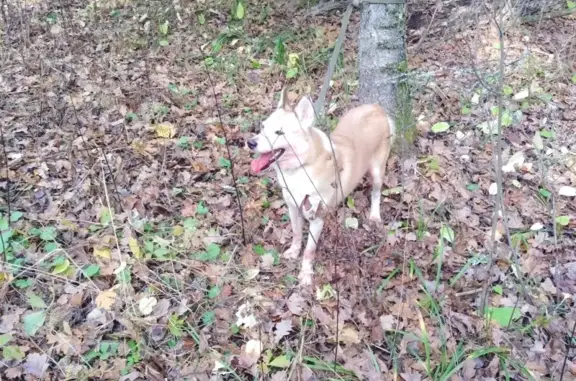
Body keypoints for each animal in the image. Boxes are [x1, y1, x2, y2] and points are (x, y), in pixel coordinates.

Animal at [245, 89, 394, 284]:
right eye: (262, 127)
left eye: (279, 132)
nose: (250, 143)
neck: (302, 166)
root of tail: (376, 108)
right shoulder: (293, 207)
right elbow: (296, 233)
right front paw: (294, 252)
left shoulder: (316, 218)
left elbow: (309, 250)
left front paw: (306, 274)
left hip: (377, 171)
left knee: (376, 193)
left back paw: (375, 215)